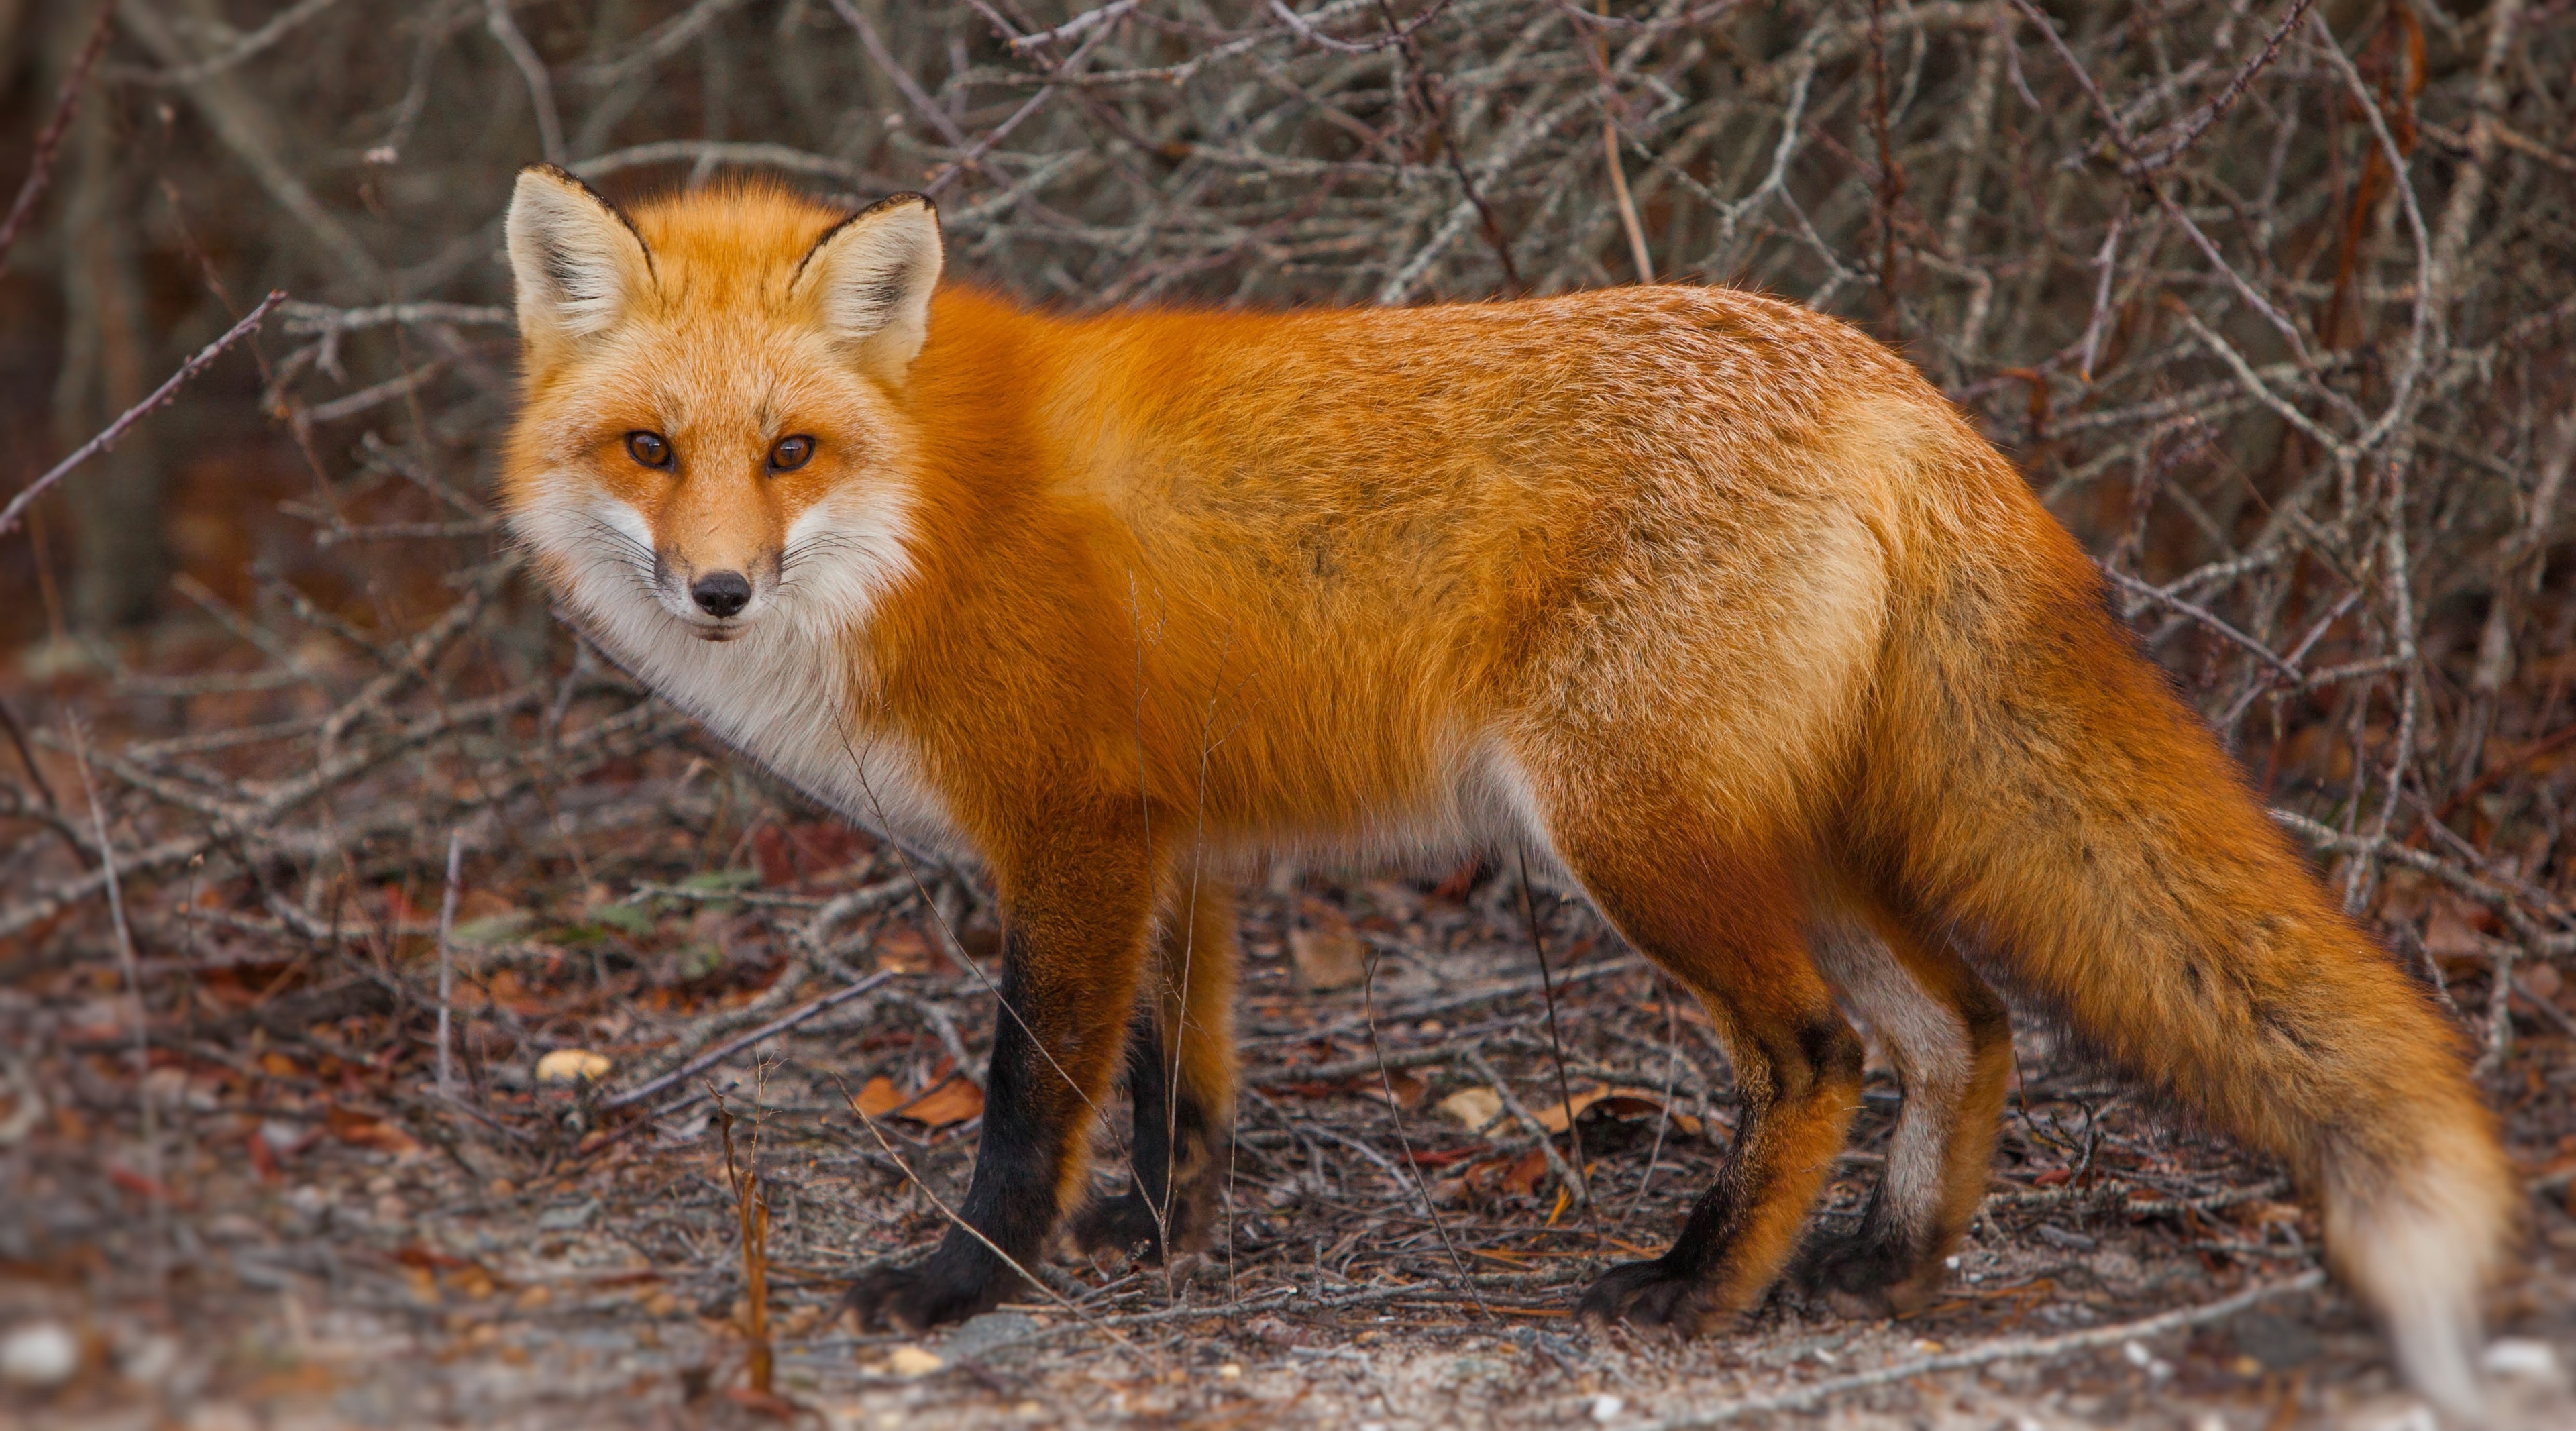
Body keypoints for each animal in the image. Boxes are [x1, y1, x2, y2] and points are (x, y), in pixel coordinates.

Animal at [502, 170, 2514, 1423]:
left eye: (790, 452)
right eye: (650, 449)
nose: (717, 590)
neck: (922, 509)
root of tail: (1890, 380)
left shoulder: (1075, 832)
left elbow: (1027, 1094)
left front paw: (962, 1282)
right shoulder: (1179, 850)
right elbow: (1176, 1089)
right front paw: (1156, 1241)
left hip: (1633, 835)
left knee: (1817, 1051)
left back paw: (1700, 1290)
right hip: (1790, 836)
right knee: (1969, 1025)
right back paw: (1883, 1269)